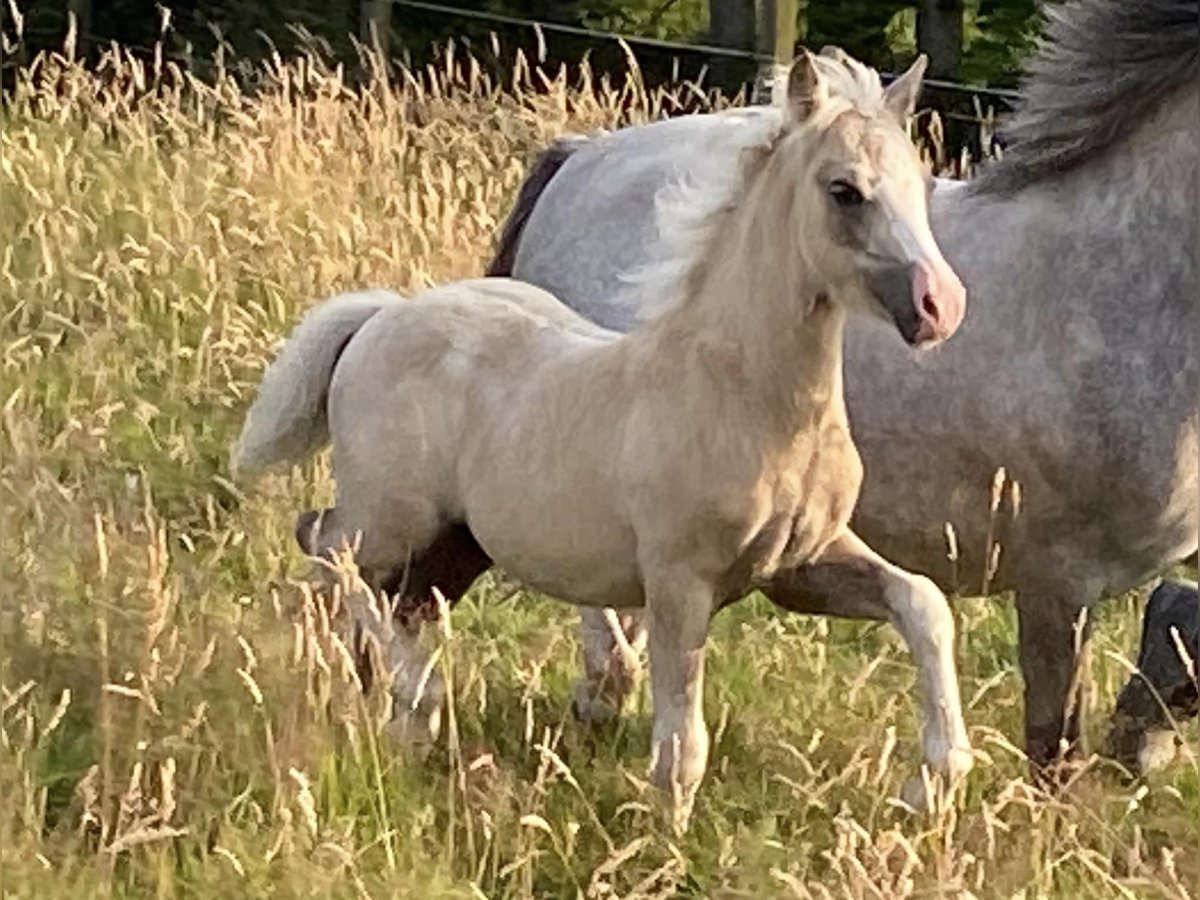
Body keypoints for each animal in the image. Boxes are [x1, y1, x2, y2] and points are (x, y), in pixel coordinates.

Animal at [236, 47, 974, 825]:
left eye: (919, 187)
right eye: (845, 191)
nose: (939, 306)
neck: (741, 393)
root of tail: (383, 315)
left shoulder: (799, 567)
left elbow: (922, 602)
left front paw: (935, 782)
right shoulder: (680, 580)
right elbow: (682, 737)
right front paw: (668, 836)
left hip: (454, 545)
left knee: (372, 589)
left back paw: (381, 707)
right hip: (393, 520)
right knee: (326, 546)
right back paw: (416, 698)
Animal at [372, 0, 1190, 777]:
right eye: (846, 191)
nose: (941, 307)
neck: (1105, 280)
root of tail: (581, 160)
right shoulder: (1056, 576)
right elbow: (1054, 744)